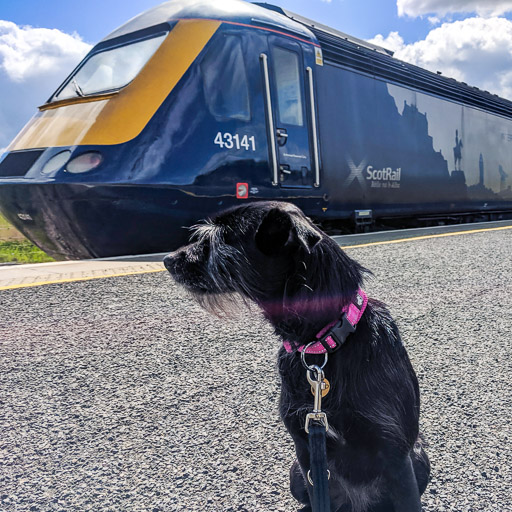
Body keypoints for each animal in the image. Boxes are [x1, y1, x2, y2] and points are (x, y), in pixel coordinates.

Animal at [164, 201, 428, 512]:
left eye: (221, 239)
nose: (168, 260)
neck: (322, 345)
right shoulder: (306, 452)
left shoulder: (396, 454)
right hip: (295, 475)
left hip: (420, 457)